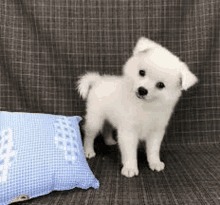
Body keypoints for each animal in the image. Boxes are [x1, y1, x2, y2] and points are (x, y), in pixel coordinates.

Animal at [77, 37, 198, 178]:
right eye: (142, 72)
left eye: (161, 85)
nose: (142, 90)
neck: (144, 106)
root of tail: (98, 80)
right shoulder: (128, 130)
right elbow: (129, 151)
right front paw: (130, 168)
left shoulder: (156, 131)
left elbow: (153, 149)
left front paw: (155, 162)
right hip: (95, 118)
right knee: (89, 134)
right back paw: (88, 150)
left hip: (109, 117)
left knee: (107, 128)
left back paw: (109, 141)